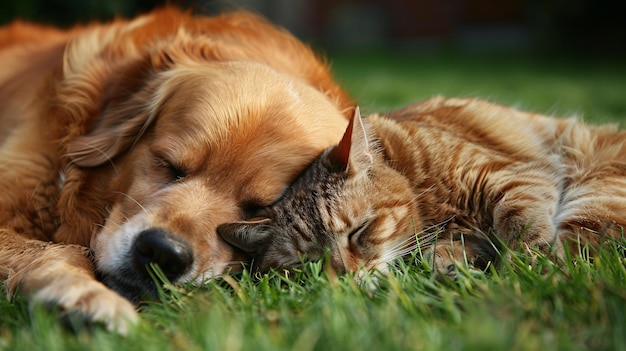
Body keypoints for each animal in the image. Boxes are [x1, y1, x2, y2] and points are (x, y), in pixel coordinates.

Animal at [217, 97, 624, 278]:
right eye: (307, 261)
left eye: (360, 230)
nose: (347, 275)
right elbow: (442, 252)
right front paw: (454, 260)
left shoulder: (513, 174)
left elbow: (519, 220)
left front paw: (526, 259)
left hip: (594, 195)